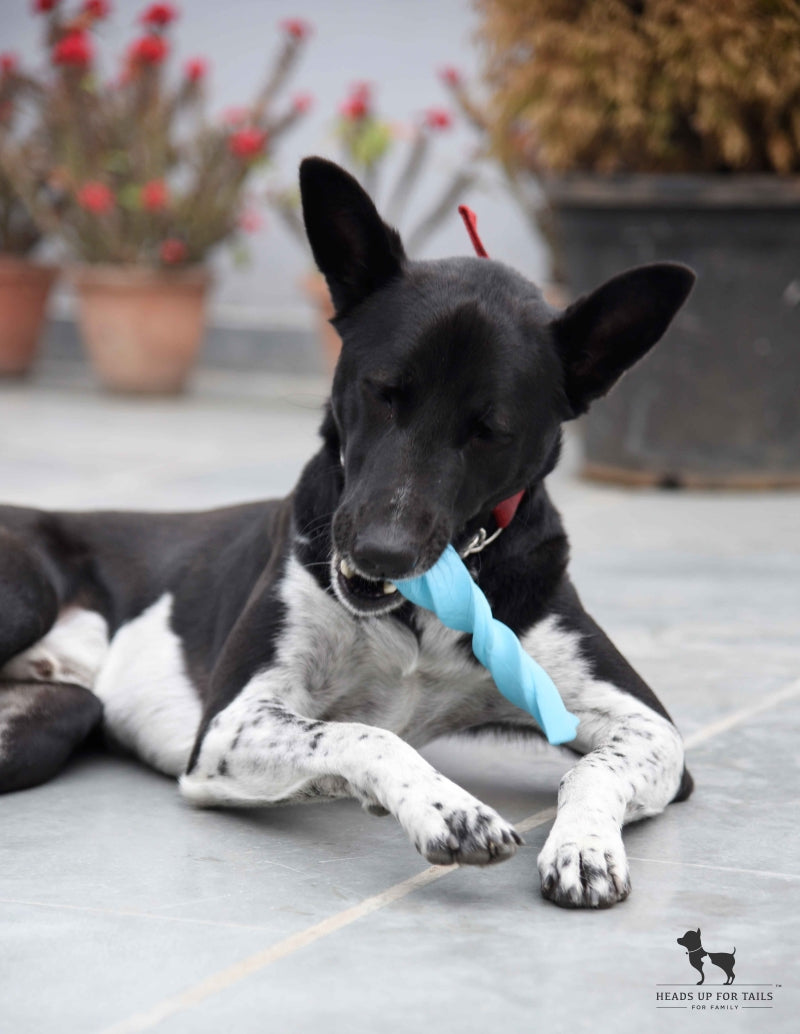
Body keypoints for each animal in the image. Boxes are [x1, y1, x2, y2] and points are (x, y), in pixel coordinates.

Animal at [0, 155, 694, 905]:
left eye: (490, 430)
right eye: (383, 391)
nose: (380, 552)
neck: (418, 613)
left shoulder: (653, 730)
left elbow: (593, 767)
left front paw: (584, 846)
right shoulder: (226, 729)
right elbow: (363, 734)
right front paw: (447, 807)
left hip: (56, 716)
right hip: (26, 596)